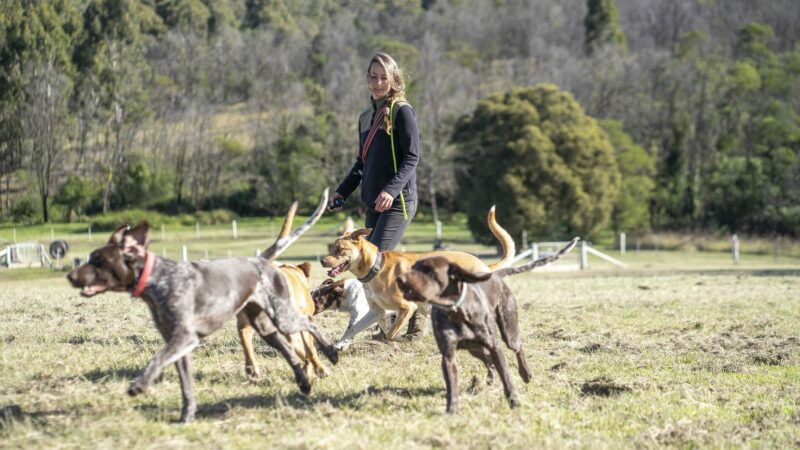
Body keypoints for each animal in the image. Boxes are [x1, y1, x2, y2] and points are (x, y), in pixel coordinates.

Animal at [65, 188, 334, 420]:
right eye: (91, 258)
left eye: (98, 260)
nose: (70, 276)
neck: (160, 279)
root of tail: (260, 260)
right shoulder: (178, 346)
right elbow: (186, 386)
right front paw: (186, 416)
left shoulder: (184, 337)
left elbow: (156, 360)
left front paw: (140, 385)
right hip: (264, 327)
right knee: (290, 351)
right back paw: (304, 382)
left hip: (283, 318)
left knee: (309, 325)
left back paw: (331, 352)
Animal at [320, 207, 516, 342]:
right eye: (331, 248)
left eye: (340, 249)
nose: (322, 261)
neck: (376, 268)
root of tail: (483, 265)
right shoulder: (375, 311)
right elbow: (354, 329)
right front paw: (340, 345)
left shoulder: (407, 307)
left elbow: (391, 333)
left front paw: (401, 340)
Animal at [396, 237, 580, 414]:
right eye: (413, 268)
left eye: (429, 271)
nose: (399, 279)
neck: (456, 311)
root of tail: (496, 275)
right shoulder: (448, 355)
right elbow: (452, 385)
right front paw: (452, 410)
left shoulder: (495, 346)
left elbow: (506, 376)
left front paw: (514, 401)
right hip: (474, 348)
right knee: (489, 361)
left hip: (508, 331)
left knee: (518, 346)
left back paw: (525, 373)